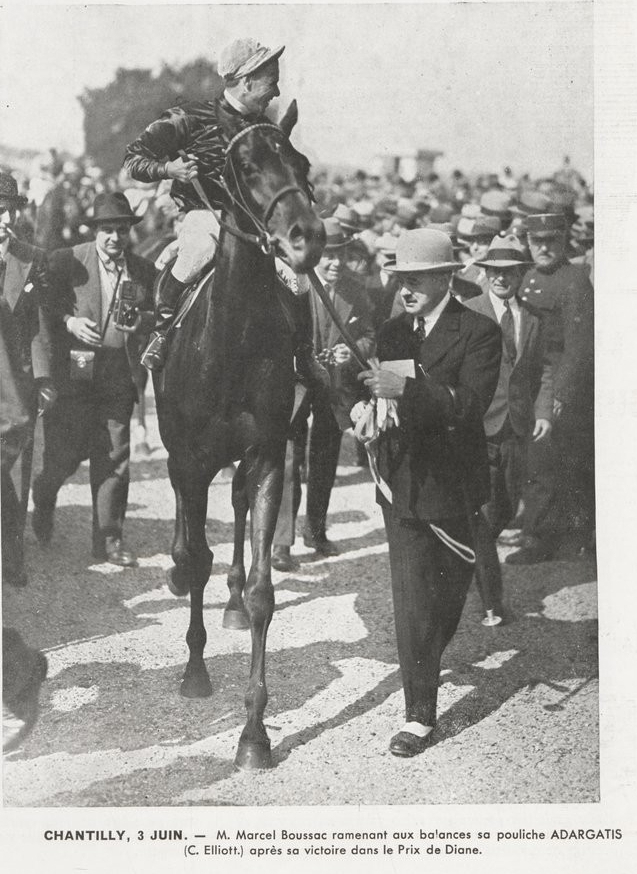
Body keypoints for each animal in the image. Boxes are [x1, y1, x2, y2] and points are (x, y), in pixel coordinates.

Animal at [153, 104, 322, 768]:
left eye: (301, 163)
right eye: (245, 167)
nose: (307, 236)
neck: (230, 340)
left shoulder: (267, 452)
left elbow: (261, 592)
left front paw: (254, 732)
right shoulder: (192, 456)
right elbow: (195, 557)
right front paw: (195, 672)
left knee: (239, 507)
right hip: (178, 451)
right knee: (186, 525)